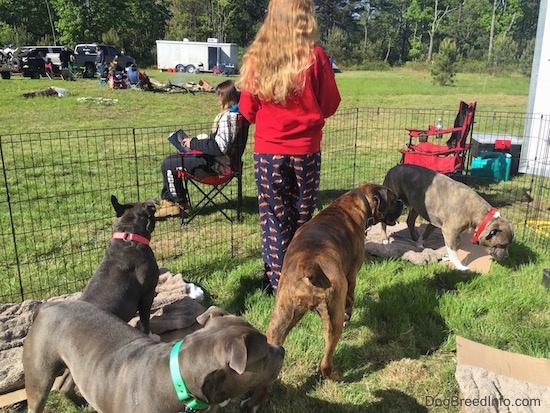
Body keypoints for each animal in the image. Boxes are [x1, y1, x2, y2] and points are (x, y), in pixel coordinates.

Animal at [22, 300, 284, 412]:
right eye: (264, 353)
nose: (282, 350)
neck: (181, 385)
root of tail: (47, 305)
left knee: (67, 383)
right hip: (39, 378)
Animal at [382, 164, 516, 270]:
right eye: (501, 245)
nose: (507, 257)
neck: (479, 213)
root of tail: (393, 168)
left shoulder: (436, 223)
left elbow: (427, 234)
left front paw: (420, 244)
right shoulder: (448, 231)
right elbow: (453, 251)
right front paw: (460, 266)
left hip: (416, 206)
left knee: (410, 221)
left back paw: (414, 237)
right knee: (384, 222)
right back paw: (384, 239)